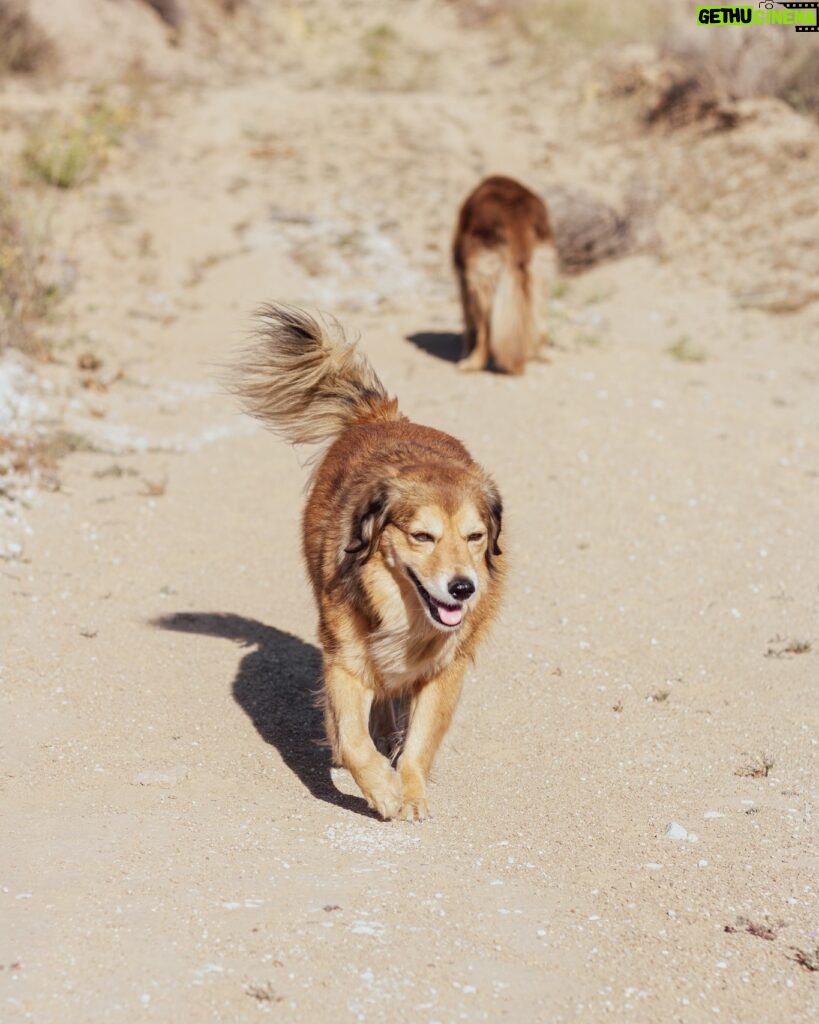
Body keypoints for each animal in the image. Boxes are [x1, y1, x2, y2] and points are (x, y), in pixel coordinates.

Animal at [227, 305, 501, 823]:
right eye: (422, 536)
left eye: (475, 538)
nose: (463, 589)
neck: (406, 614)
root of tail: (385, 417)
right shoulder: (345, 660)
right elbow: (353, 739)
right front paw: (382, 788)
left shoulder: (445, 670)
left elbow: (420, 742)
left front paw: (409, 788)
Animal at [450, 177, 552, 376]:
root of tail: (517, 219)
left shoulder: (465, 283)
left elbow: (469, 324)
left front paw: (465, 351)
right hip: (539, 275)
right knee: (540, 319)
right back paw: (542, 354)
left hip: (481, 281)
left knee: (485, 331)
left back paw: (473, 363)